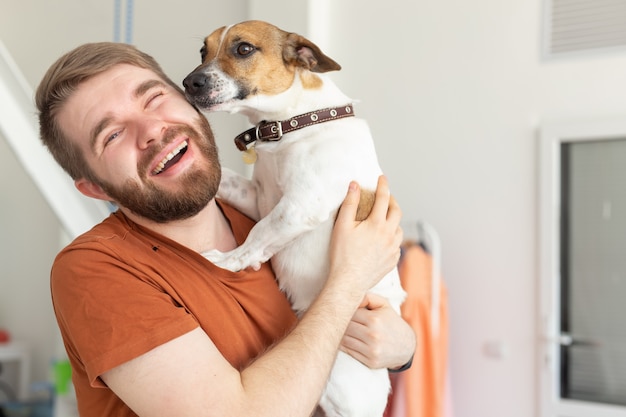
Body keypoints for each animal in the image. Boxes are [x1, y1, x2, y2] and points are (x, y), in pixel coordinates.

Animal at [183, 20, 404, 416]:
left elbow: (257, 236)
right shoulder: (260, 198)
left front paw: (228, 262)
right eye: (203, 51)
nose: (188, 82)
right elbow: (230, 185)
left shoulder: (302, 204)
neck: (293, 123)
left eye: (243, 49)